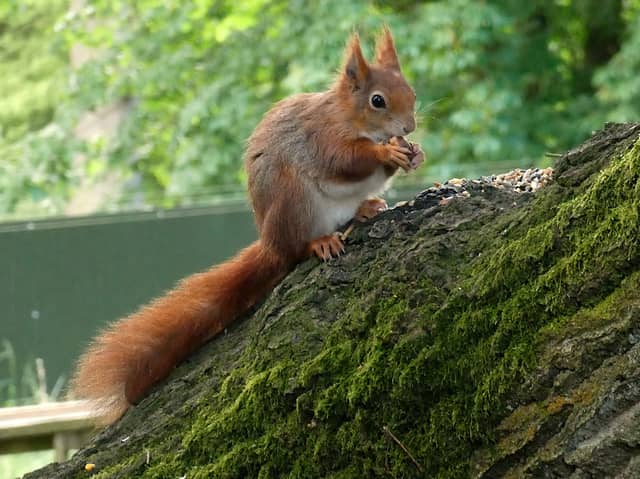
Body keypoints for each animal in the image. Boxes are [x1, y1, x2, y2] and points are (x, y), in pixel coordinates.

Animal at [71, 27, 424, 424]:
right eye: (377, 101)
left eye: (411, 92)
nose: (409, 126)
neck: (349, 117)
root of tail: (270, 241)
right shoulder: (319, 136)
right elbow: (345, 160)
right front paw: (386, 151)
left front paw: (414, 153)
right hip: (293, 200)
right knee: (297, 247)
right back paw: (319, 242)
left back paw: (366, 207)